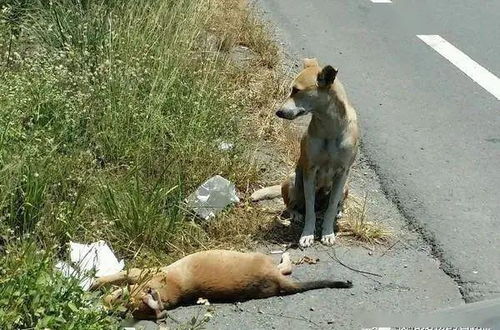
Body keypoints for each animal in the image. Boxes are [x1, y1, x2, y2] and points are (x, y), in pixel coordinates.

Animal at [92, 250, 354, 320]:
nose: (108, 306)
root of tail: (278, 282)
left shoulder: (139, 274)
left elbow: (117, 278)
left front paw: (94, 283)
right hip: (269, 271)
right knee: (286, 270)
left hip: (258, 257)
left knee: (287, 267)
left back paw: (287, 253)